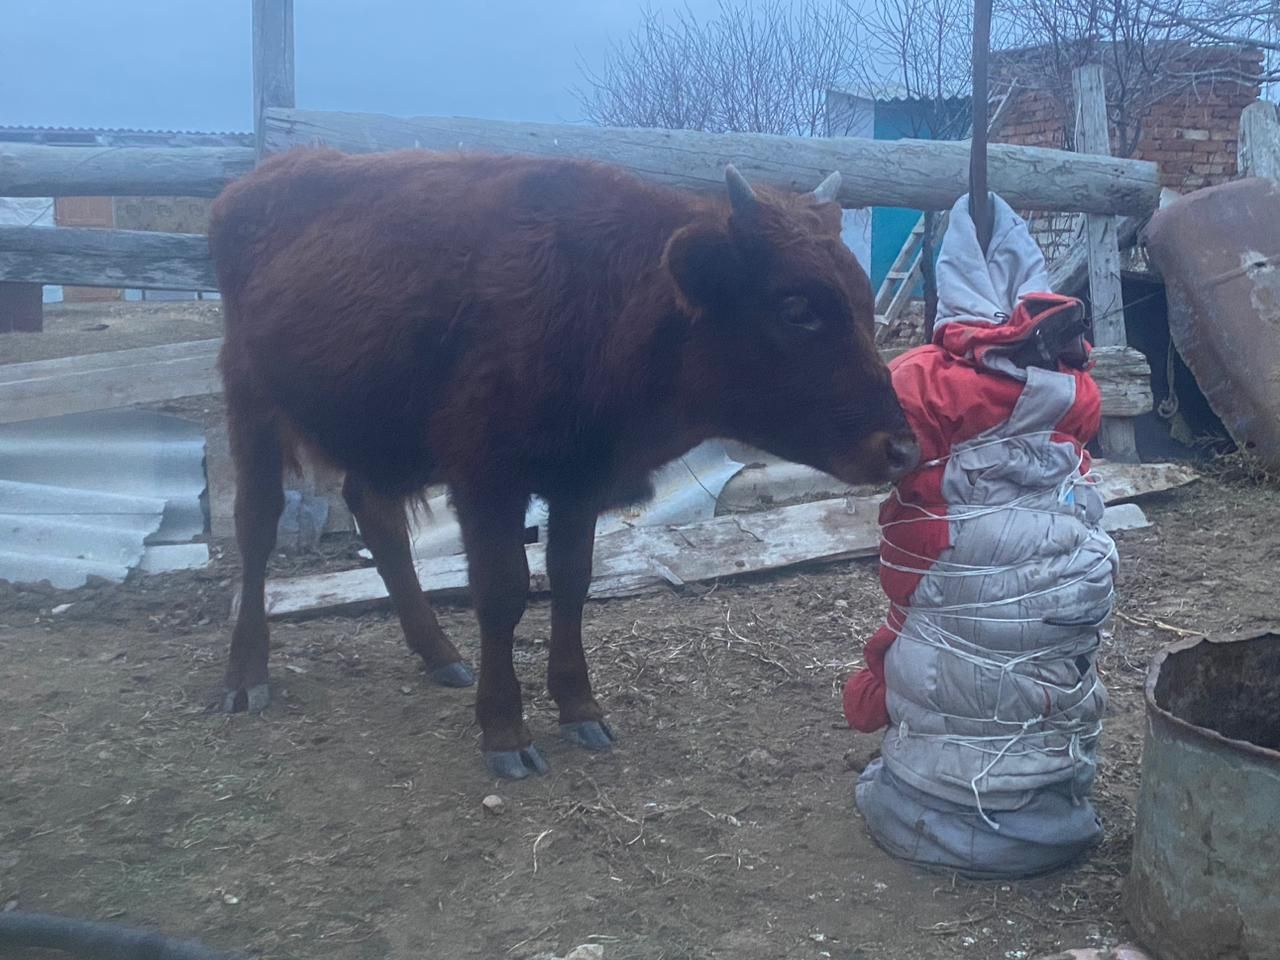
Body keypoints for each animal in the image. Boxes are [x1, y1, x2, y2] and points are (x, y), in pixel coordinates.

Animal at [209, 150, 916, 783]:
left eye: (861, 299)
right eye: (796, 307)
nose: (901, 448)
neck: (607, 295)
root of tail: (248, 187)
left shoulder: (578, 486)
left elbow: (571, 583)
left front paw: (581, 709)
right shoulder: (487, 483)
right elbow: (503, 593)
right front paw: (505, 733)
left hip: (379, 437)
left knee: (374, 515)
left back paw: (439, 654)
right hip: (252, 404)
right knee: (257, 526)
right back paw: (245, 677)